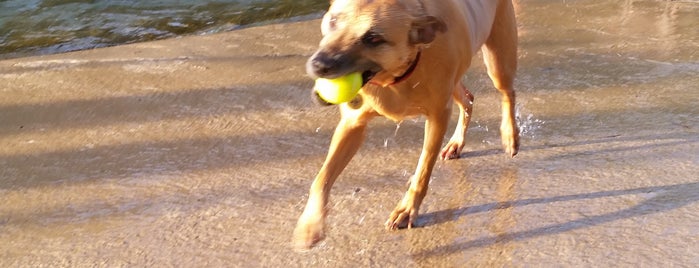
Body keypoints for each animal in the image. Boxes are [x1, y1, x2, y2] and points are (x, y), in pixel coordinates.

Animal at [294, 0, 520, 249]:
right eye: (333, 21)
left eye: (373, 38)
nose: (319, 64)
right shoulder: (351, 125)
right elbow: (321, 178)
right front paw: (310, 225)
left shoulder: (438, 117)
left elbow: (423, 169)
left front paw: (407, 209)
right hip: (455, 83)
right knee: (468, 98)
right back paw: (457, 143)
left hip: (499, 61)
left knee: (507, 93)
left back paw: (510, 135)